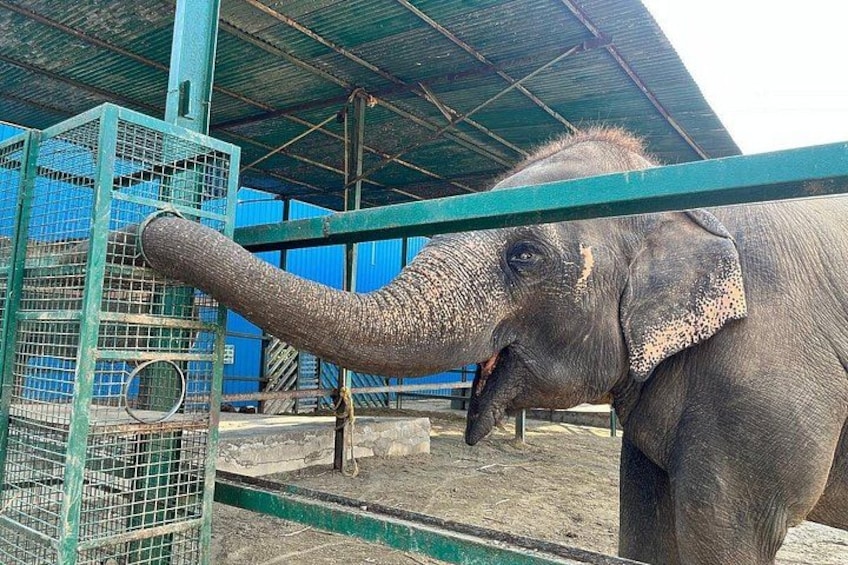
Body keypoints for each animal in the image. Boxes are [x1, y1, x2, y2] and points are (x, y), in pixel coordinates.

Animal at [135, 127, 847, 564]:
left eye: (524, 254)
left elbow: (724, 528)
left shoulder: (765, 383)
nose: (147, 227)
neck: (678, 194)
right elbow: (645, 522)